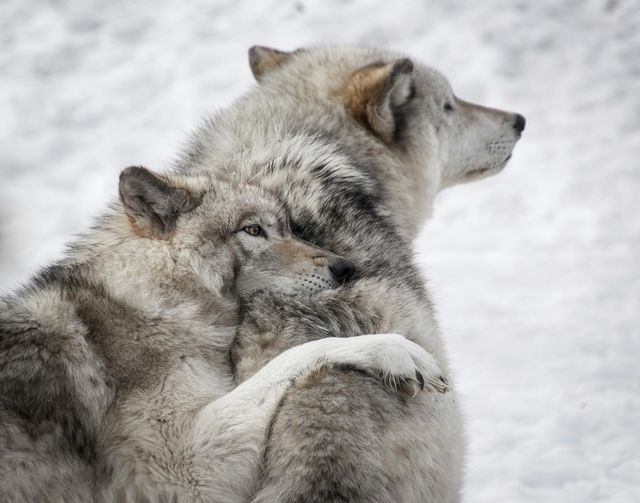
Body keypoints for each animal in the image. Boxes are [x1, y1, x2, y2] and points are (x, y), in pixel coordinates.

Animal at [0, 164, 444, 500]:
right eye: (253, 230)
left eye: (288, 228)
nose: (345, 268)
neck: (155, 298)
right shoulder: (184, 470)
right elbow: (302, 352)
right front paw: (395, 351)